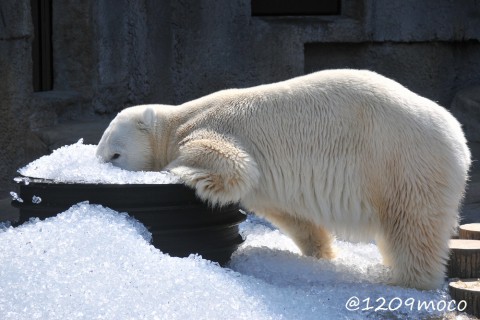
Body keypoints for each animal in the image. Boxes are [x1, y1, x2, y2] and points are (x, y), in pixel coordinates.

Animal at [96, 69, 468, 288]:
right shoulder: (269, 190)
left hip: (402, 163)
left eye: (115, 155)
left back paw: (407, 281)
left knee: (413, 228)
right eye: (102, 154)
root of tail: (458, 139)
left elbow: (231, 163)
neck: (175, 121)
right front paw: (320, 254)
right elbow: (291, 215)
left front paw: (179, 170)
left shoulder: (215, 127)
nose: (101, 164)